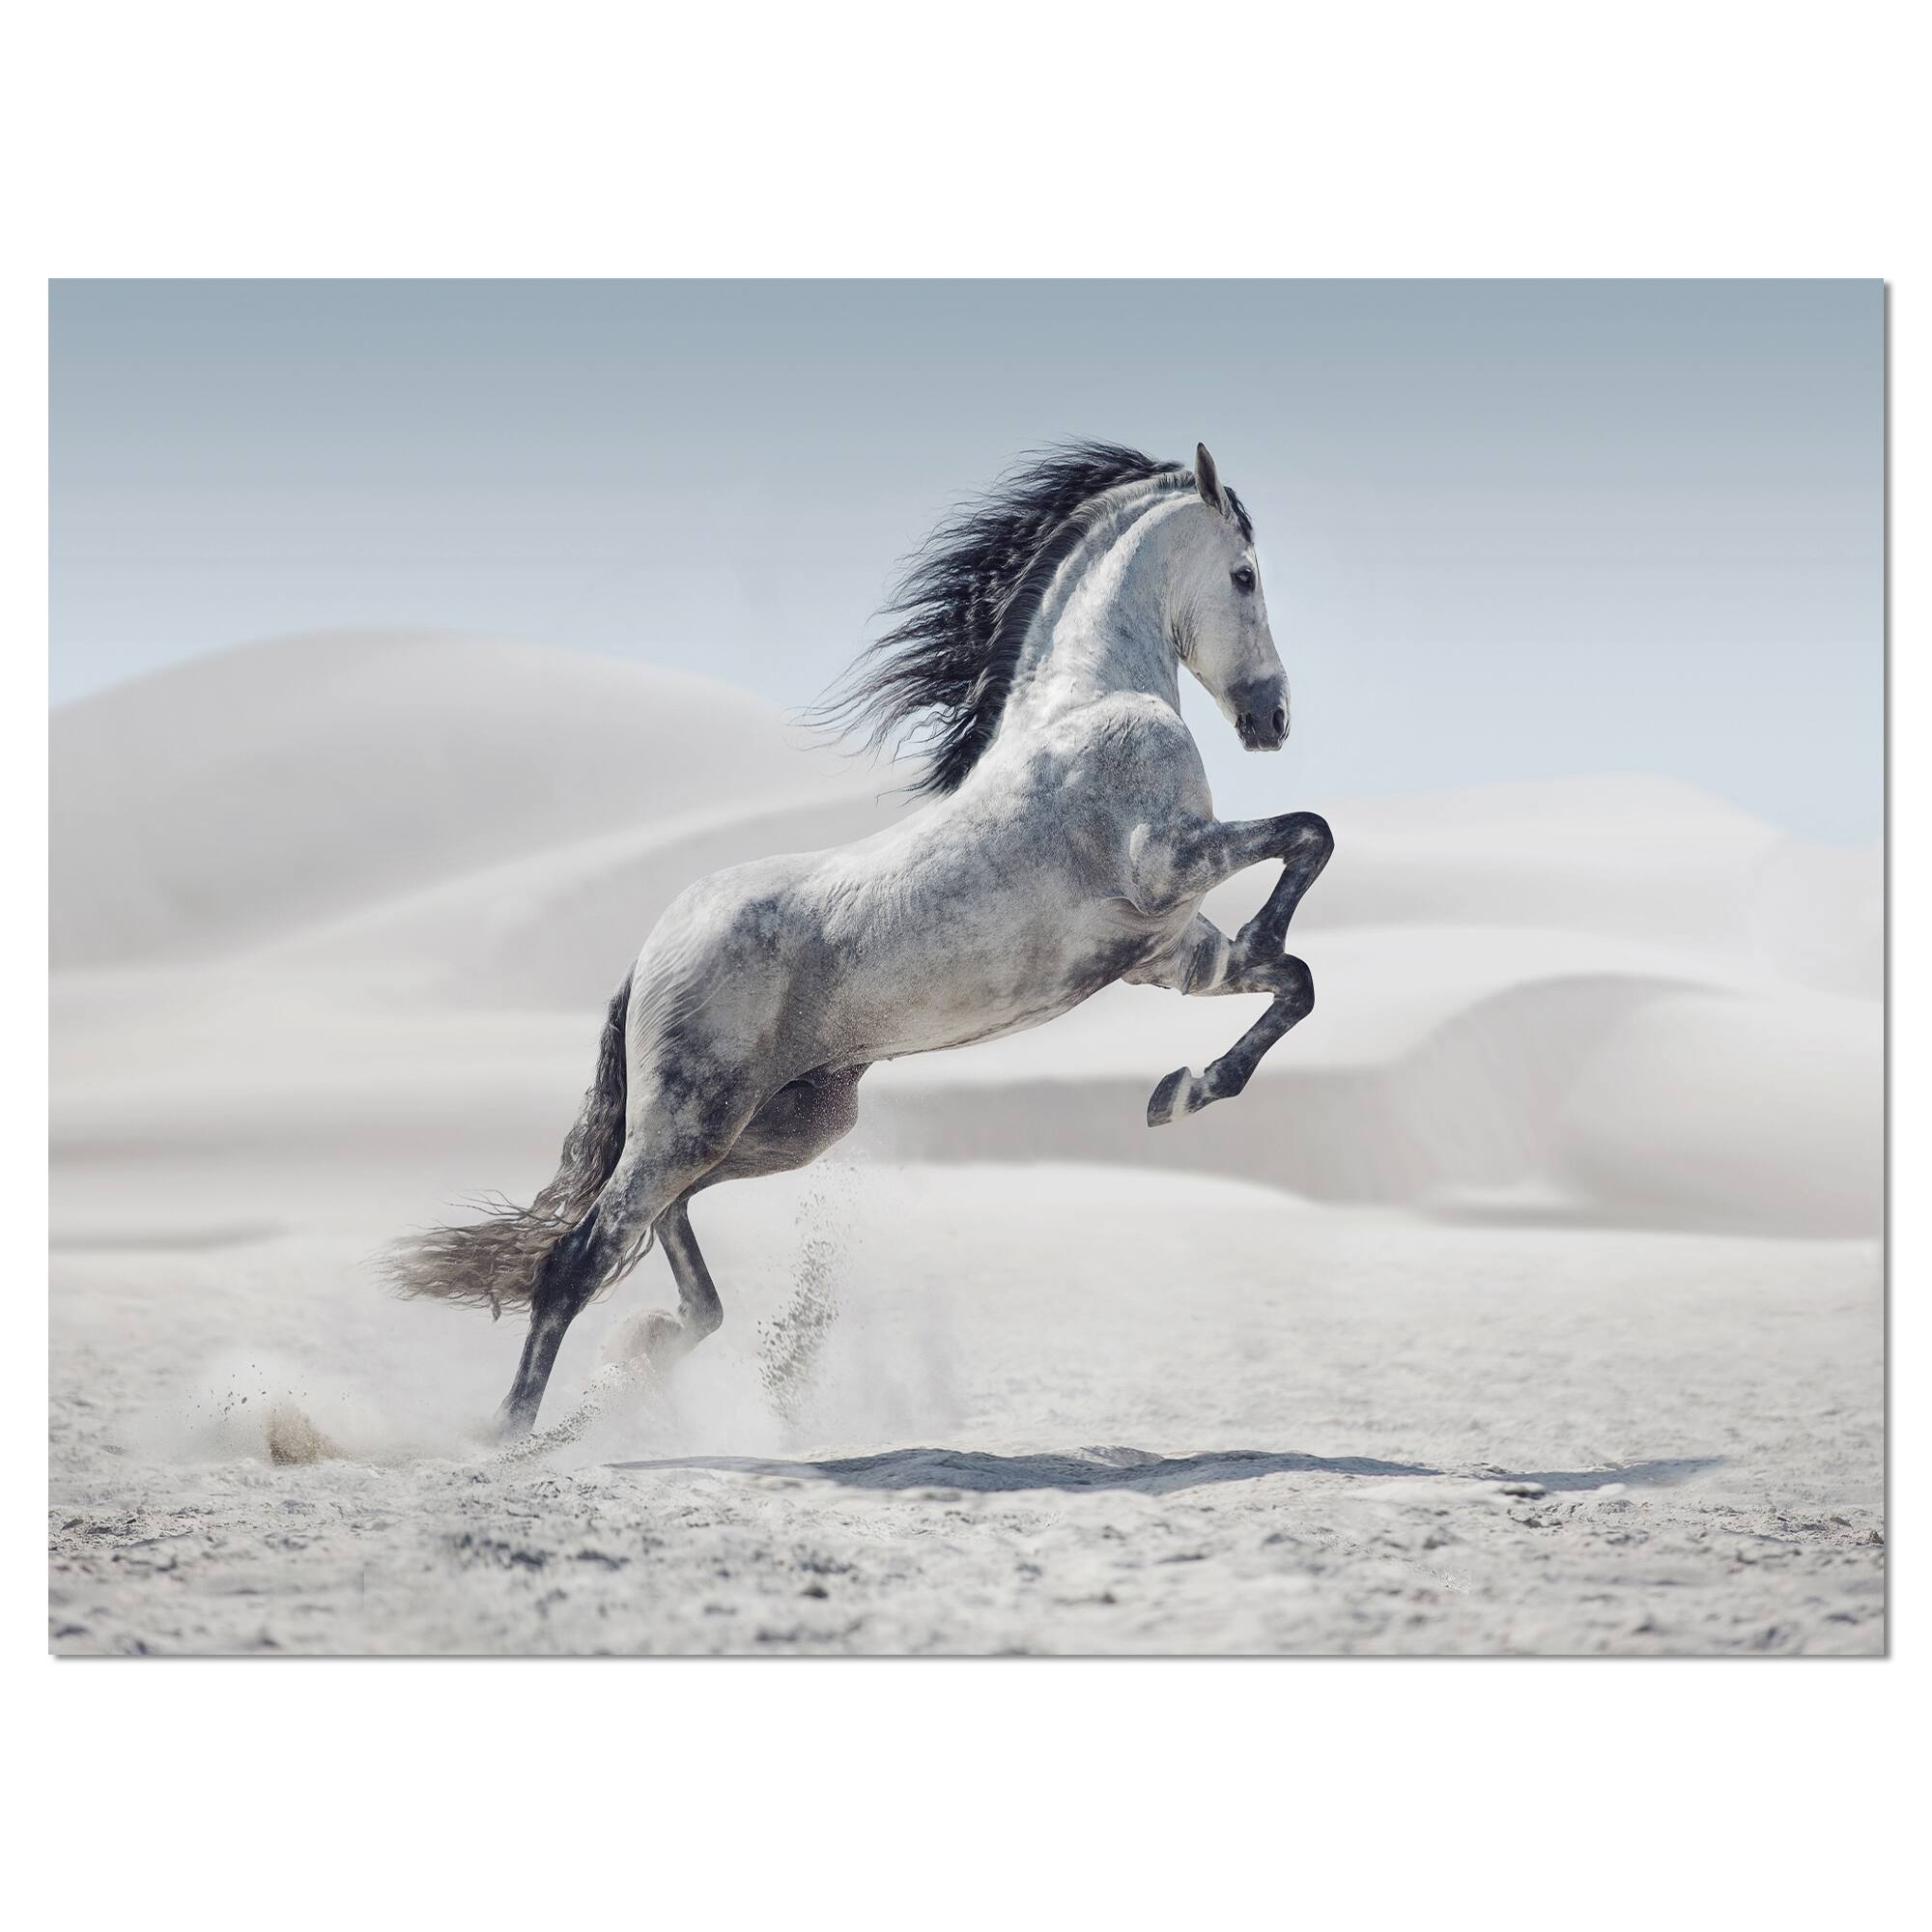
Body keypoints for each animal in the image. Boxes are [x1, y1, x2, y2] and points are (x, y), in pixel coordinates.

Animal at [386, 441, 1333, 1435]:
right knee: (579, 1257)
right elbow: (1311, 835)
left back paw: (648, 1351)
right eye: (1245, 574)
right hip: (691, 1120)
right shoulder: (1168, 864)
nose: (1273, 720)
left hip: (782, 1126)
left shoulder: (1169, 954)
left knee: (663, 1232)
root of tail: (648, 954)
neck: (1089, 703)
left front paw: (1182, 1091)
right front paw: (1216, 1027)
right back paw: (515, 1437)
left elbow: (1294, 978)